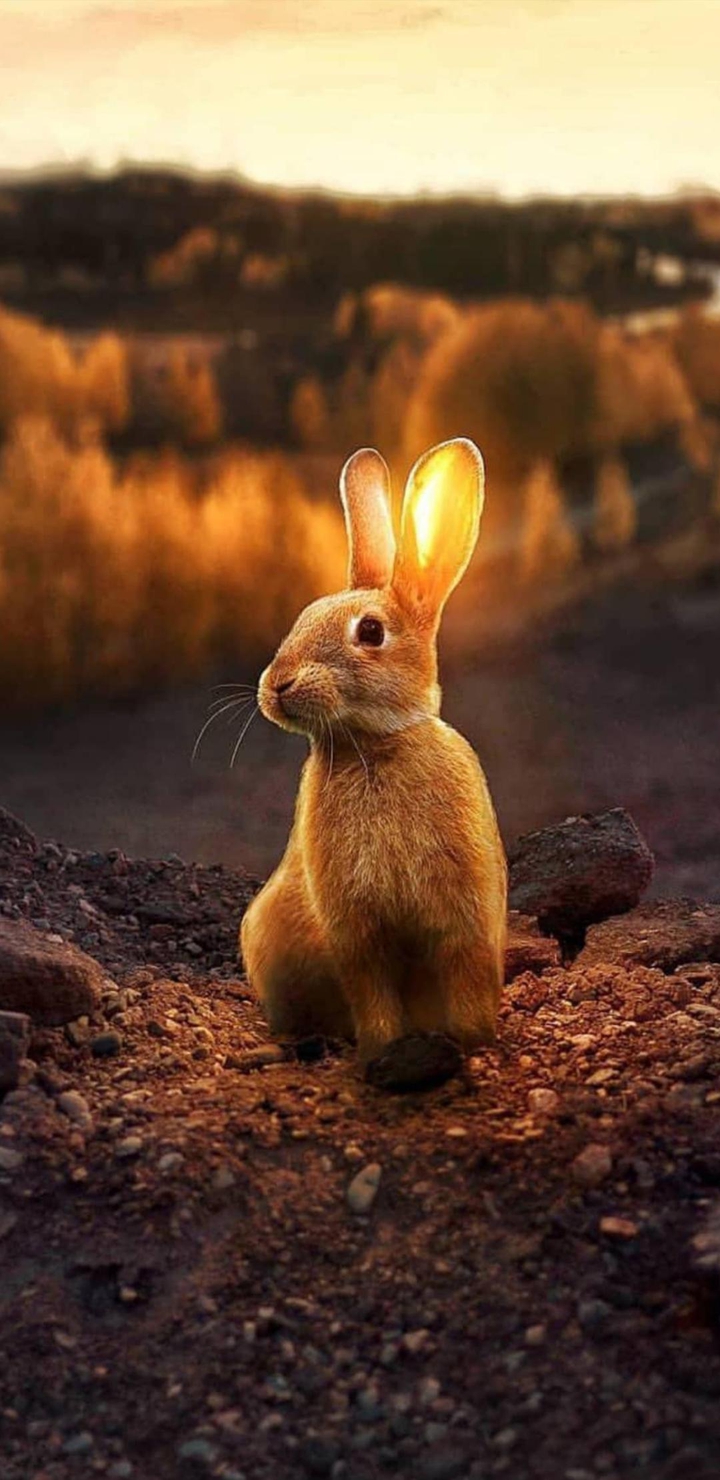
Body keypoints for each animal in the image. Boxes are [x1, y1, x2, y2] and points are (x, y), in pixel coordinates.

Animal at [240, 437, 507, 1069]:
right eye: (303, 617)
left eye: (370, 632)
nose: (277, 685)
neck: (375, 744)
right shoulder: (356, 931)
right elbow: (371, 987)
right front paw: (384, 1049)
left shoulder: (462, 917)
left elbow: (465, 972)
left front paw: (471, 1040)